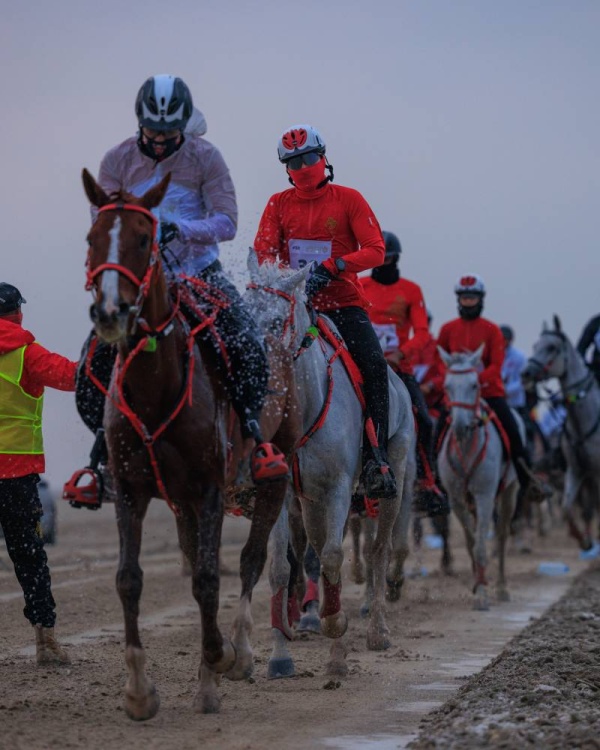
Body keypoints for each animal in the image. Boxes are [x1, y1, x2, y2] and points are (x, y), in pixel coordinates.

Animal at [81, 170, 300, 724]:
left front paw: (217, 665)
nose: (111, 312)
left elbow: (207, 579)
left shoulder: (208, 489)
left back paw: (241, 654)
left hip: (273, 472)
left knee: (251, 558)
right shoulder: (133, 490)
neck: (156, 384)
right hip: (179, 500)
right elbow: (129, 579)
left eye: (144, 238)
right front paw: (139, 692)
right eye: (92, 239)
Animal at [244, 253, 418, 680]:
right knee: (316, 548)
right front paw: (280, 657)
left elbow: (334, 557)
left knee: (378, 550)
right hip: (309, 501)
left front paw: (336, 637)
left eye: (276, 320)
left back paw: (377, 630)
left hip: (393, 479)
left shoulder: (339, 487)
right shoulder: (285, 492)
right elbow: (281, 567)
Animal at [434, 346, 516, 612]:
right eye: (447, 386)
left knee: (501, 536)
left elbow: (481, 545)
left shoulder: (485, 496)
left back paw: (502, 587)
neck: (467, 447)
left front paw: (482, 593)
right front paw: (477, 584)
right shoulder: (458, 500)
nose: (460, 427)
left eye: (474, 384)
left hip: (509, 493)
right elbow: (471, 543)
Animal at [520, 316, 600, 552]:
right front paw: (583, 540)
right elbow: (567, 509)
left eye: (552, 347)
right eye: (536, 346)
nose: (526, 373)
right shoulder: (577, 469)